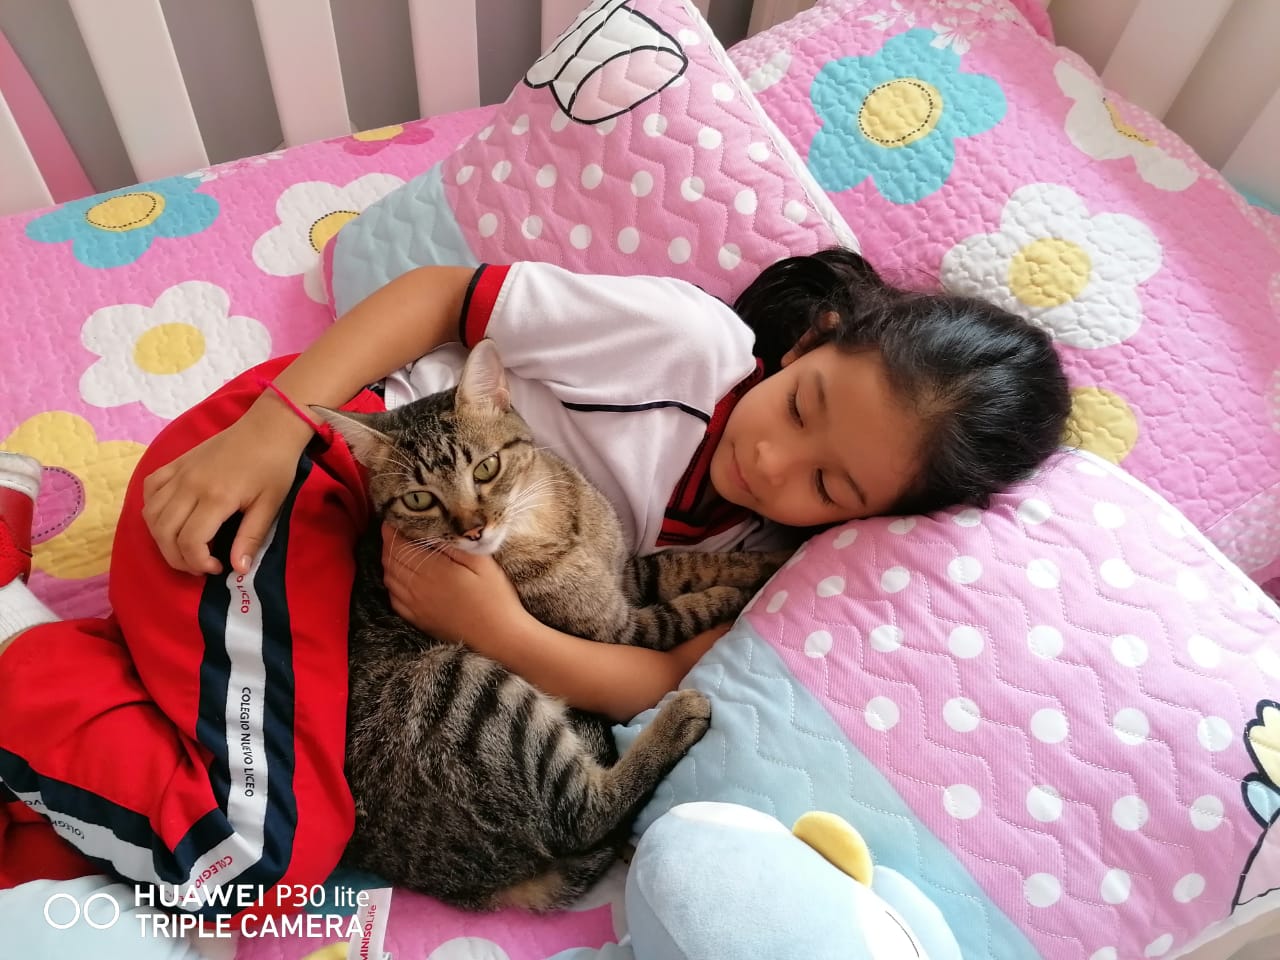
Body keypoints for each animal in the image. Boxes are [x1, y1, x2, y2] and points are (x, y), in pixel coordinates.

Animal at [314, 339, 787, 913]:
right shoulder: (622, 629)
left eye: (487, 468)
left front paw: (771, 560)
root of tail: (476, 888)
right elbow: (684, 610)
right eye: (419, 499)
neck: (546, 520)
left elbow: (688, 564)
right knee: (582, 815)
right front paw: (737, 597)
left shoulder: (628, 574)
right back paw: (680, 718)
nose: (473, 529)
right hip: (465, 687)